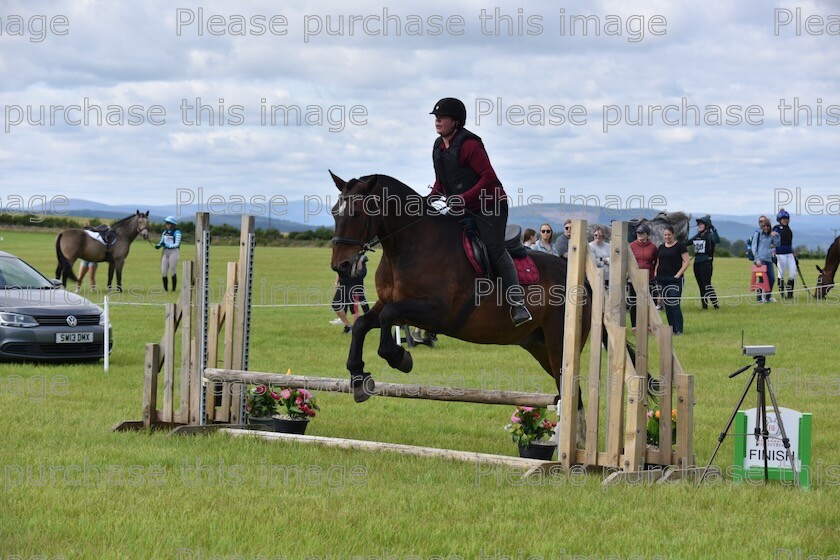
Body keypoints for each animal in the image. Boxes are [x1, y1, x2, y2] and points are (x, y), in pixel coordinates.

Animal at [328, 172, 596, 438]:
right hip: (538, 345)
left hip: (558, 344)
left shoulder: (436, 312)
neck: (407, 246)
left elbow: (388, 318)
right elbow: (362, 324)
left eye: (357, 213)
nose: (341, 266)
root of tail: (580, 278)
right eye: (333, 212)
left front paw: (399, 357)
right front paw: (358, 377)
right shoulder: (389, 303)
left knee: (572, 392)